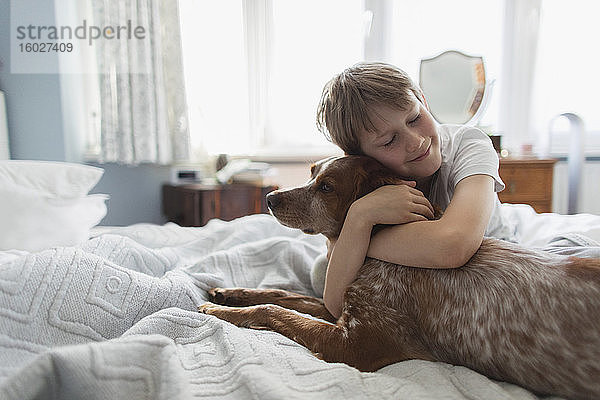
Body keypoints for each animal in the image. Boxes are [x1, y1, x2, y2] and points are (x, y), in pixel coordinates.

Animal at [200, 155, 600, 398]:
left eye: (326, 186)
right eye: (311, 171)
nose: (270, 198)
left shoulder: (356, 344)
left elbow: (275, 310)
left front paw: (220, 313)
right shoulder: (341, 309)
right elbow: (284, 296)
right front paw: (228, 294)